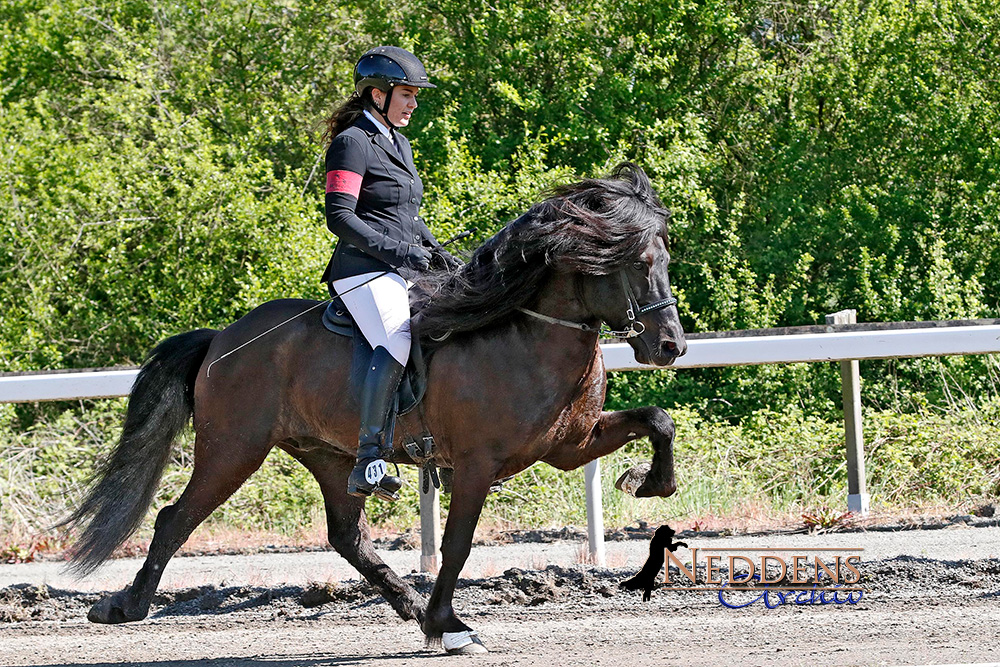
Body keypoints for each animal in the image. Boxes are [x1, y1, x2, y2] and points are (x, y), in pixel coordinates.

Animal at [62, 163, 688, 656]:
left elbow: (658, 419)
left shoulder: (571, 445)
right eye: (638, 262)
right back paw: (124, 606)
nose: (670, 347)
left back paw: (409, 606)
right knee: (175, 519)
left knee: (347, 536)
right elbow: (457, 544)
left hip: (329, 454)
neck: (528, 335)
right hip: (232, 450)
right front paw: (451, 625)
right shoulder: (477, 465)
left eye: (665, 260)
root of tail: (222, 339)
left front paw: (650, 482)